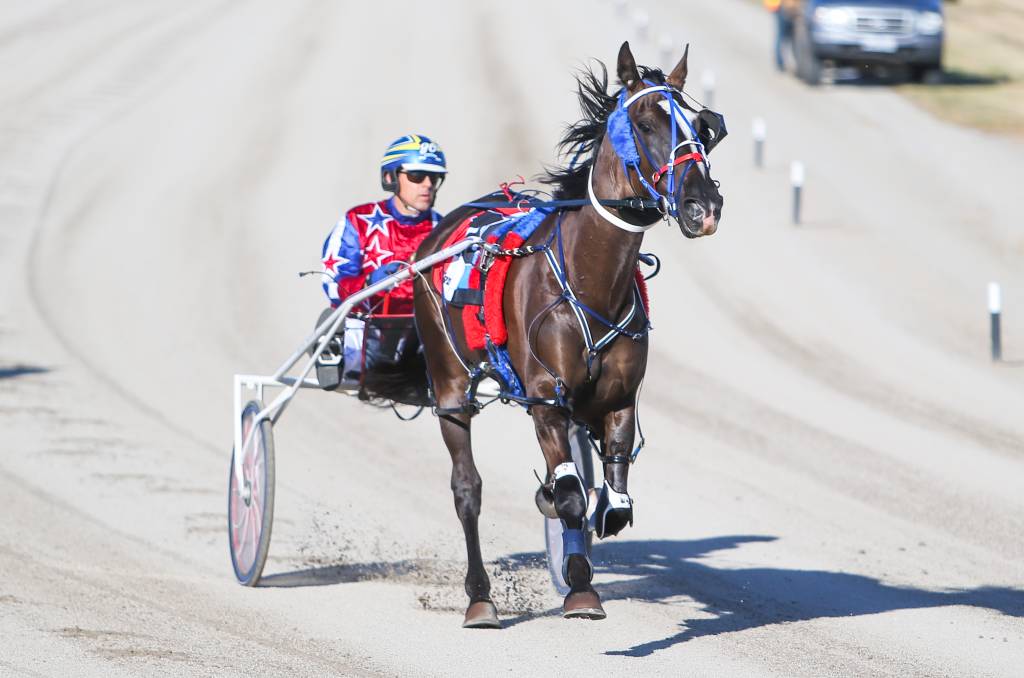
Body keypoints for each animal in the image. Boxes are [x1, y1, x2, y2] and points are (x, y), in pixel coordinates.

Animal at [411, 41, 726, 628]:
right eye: (645, 122)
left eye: (701, 125)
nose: (704, 206)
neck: (589, 278)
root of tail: (442, 230)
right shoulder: (546, 400)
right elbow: (571, 495)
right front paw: (578, 582)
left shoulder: (619, 399)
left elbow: (612, 503)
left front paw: (580, 571)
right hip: (449, 385)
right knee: (467, 488)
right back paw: (480, 598)